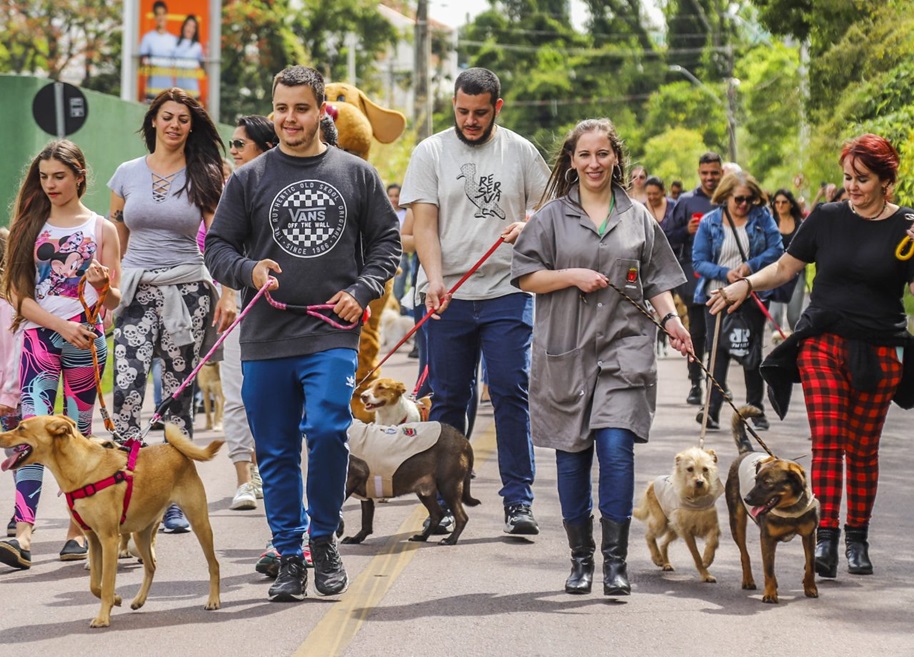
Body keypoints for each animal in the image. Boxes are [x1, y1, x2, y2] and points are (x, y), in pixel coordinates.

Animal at [0, 416, 223, 624]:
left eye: (21, 428)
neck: (82, 472)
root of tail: (174, 449)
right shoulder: (93, 539)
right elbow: (94, 584)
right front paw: (116, 599)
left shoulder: (108, 539)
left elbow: (106, 582)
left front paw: (103, 617)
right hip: (141, 533)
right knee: (151, 567)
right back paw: (139, 600)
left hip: (199, 522)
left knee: (214, 564)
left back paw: (213, 600)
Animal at [632, 446, 724, 580]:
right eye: (690, 469)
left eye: (705, 469)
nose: (700, 482)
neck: (696, 499)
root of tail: (651, 484)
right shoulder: (686, 532)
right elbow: (696, 555)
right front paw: (705, 573)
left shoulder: (713, 526)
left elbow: (713, 541)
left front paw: (707, 560)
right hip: (661, 522)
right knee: (649, 535)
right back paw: (657, 558)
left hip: (673, 528)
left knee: (663, 543)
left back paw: (666, 563)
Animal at [728, 408, 820, 604]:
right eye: (755, 480)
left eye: (768, 483)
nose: (747, 498)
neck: (790, 510)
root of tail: (747, 452)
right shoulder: (767, 539)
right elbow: (768, 569)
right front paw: (770, 593)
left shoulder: (809, 536)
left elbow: (810, 564)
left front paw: (810, 588)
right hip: (736, 522)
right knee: (744, 554)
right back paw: (748, 580)